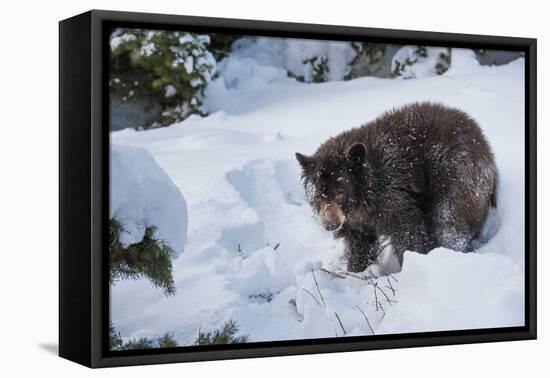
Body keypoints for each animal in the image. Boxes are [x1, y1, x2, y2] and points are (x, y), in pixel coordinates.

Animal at [298, 102, 500, 272]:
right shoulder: (357, 222)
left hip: (456, 177)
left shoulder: (393, 195)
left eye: (340, 192)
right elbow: (361, 243)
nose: (330, 224)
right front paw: (356, 269)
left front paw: (410, 264)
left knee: (449, 223)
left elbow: (408, 232)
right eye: (318, 194)